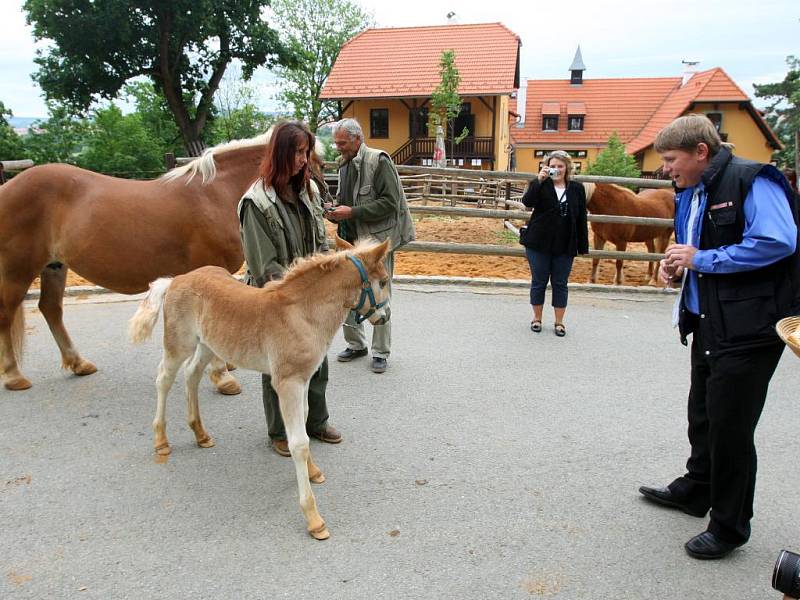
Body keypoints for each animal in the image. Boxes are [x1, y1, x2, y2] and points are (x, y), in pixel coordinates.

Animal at [0, 134, 272, 392]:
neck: (215, 193)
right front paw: (223, 377)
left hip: (54, 266)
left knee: (51, 308)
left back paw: (78, 363)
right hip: (17, 269)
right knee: (7, 313)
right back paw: (14, 376)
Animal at [129, 238, 390, 540]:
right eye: (384, 281)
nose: (384, 317)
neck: (302, 314)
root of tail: (176, 279)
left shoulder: (303, 380)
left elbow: (303, 426)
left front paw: (313, 471)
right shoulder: (287, 383)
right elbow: (298, 443)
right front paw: (313, 517)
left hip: (208, 345)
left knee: (191, 374)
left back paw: (201, 433)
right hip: (178, 344)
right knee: (164, 378)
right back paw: (161, 441)